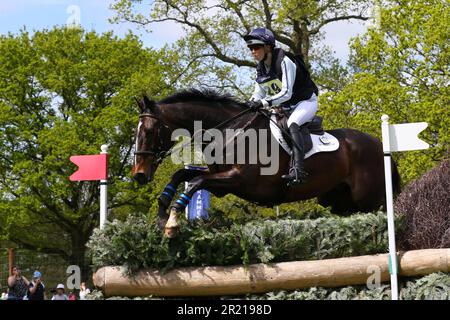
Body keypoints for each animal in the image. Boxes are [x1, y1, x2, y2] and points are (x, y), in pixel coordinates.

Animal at [131, 89, 400, 236]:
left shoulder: (241, 181)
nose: (138, 174)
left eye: (150, 131)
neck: (230, 131)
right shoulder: (219, 181)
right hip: (341, 202)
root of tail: (379, 144)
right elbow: (182, 176)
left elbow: (196, 181)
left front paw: (172, 222)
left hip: (370, 200)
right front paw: (162, 212)